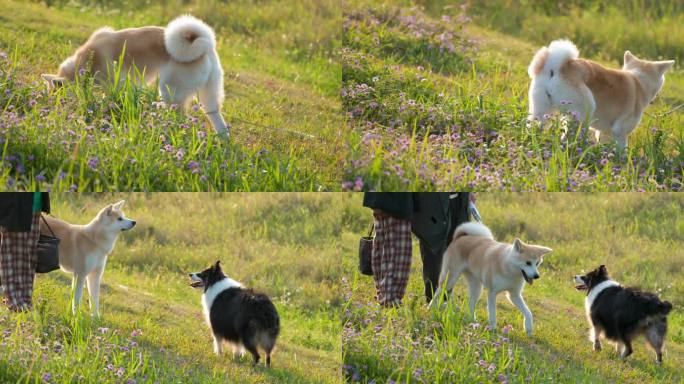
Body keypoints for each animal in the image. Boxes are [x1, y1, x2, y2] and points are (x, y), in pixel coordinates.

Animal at [42, 15, 230, 138]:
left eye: (59, 97)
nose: (51, 110)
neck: (86, 62)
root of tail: (205, 45)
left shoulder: (117, 85)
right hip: (209, 97)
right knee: (218, 121)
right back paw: (223, 142)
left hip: (170, 93)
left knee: (179, 118)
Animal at [528, 39, 676, 147]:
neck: (639, 81)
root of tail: (558, 66)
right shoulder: (621, 131)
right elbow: (622, 150)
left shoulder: (605, 132)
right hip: (584, 112)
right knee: (568, 135)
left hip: (542, 110)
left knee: (534, 125)